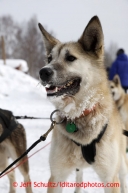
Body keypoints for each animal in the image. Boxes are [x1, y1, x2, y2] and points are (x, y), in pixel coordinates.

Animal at [38, 15, 127, 192]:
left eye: (70, 58)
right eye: (49, 58)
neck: (80, 114)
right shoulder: (57, 177)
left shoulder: (110, 179)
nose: (43, 72)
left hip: (121, 166)